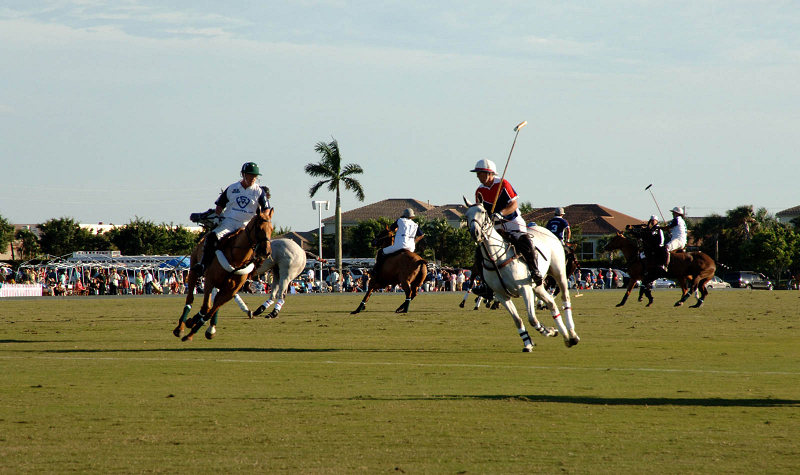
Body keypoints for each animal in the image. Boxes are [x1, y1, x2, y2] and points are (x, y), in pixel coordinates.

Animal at [175, 210, 276, 340]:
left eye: (271, 228)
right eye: (259, 228)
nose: (266, 252)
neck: (237, 259)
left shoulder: (230, 291)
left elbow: (212, 310)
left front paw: (197, 329)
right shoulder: (210, 281)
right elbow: (206, 307)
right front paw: (191, 328)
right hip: (194, 269)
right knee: (190, 298)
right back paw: (180, 328)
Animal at [462, 198, 580, 354]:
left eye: (483, 212)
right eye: (466, 215)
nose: (475, 232)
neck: (496, 258)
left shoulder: (525, 289)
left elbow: (532, 319)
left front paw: (548, 331)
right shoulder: (501, 294)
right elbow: (518, 320)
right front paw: (530, 342)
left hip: (559, 273)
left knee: (565, 298)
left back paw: (572, 335)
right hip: (538, 286)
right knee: (551, 303)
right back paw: (566, 336)